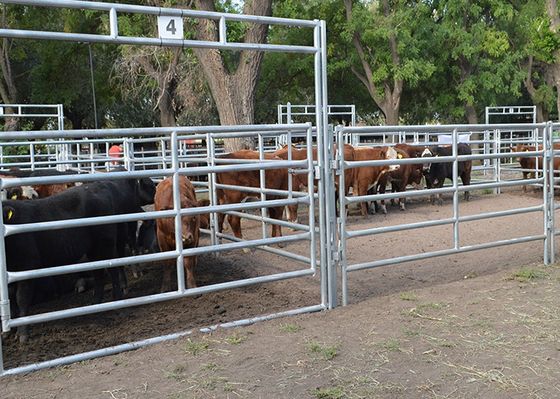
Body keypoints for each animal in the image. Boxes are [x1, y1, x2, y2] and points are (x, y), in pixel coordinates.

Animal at [3, 177, 155, 342]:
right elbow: (10, 296)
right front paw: (7, 331)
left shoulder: (27, 266)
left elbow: (21, 298)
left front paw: (22, 332)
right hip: (94, 250)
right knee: (99, 275)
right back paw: (96, 304)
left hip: (106, 244)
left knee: (113, 270)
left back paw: (117, 301)